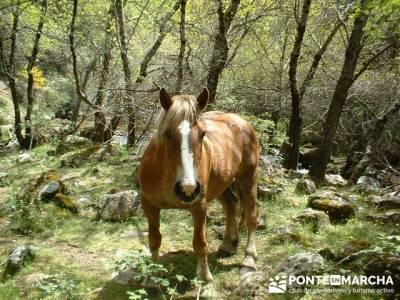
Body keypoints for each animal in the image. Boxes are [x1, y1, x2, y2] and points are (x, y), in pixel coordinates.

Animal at [138, 88, 260, 292]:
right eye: (167, 133)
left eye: (203, 134)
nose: (187, 188)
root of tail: (241, 122)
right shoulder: (149, 206)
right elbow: (154, 240)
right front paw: (151, 278)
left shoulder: (199, 207)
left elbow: (200, 244)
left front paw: (205, 280)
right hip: (221, 184)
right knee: (232, 206)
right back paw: (228, 244)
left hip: (248, 178)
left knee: (251, 216)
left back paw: (249, 259)